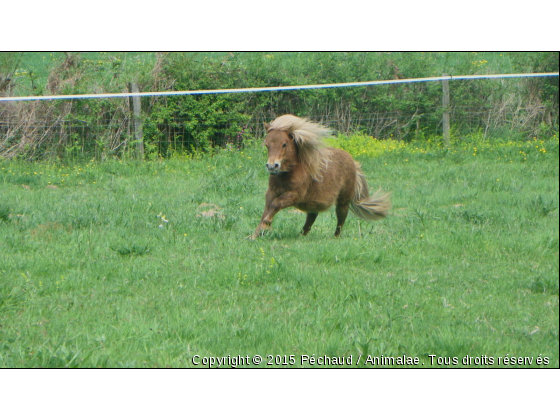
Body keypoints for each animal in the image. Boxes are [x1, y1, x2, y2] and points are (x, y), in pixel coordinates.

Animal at [252, 115, 392, 240]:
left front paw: (266, 224)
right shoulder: (271, 192)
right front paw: (255, 234)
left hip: (343, 201)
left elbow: (275, 205)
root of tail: (353, 162)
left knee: (341, 218)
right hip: (313, 203)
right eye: (267, 144)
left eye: (284, 144)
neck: (289, 173)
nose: (272, 166)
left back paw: (335, 237)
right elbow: (267, 209)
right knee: (311, 220)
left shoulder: (294, 195)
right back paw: (300, 236)